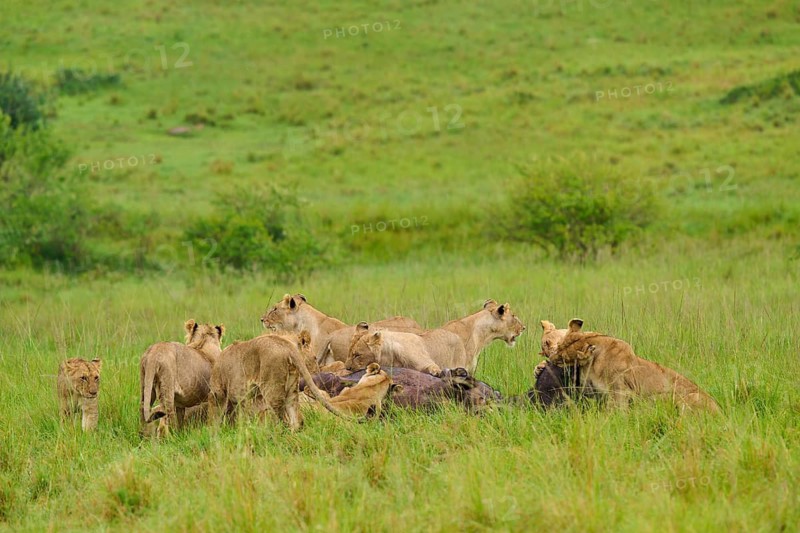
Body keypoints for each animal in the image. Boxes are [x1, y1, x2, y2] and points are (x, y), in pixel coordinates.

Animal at [209, 330, 346, 429]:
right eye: (315, 358)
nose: (317, 371)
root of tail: (288, 347)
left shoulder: (230, 393)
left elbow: (233, 414)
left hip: (272, 389)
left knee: (281, 421)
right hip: (291, 388)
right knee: (296, 421)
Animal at [550, 319, 720, 412]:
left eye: (563, 358)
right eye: (559, 346)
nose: (551, 359)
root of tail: (720, 412)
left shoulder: (620, 392)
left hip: (686, 397)